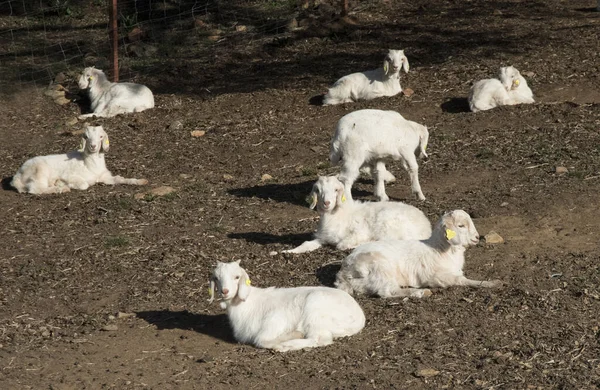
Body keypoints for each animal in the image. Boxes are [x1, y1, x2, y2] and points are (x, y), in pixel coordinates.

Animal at [11, 125, 148, 194]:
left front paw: (141, 181)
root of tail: (17, 176)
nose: (93, 146)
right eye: (86, 137)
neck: (89, 164)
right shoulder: (69, 175)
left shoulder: (104, 177)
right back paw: (61, 189)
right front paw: (61, 183)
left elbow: (119, 179)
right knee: (35, 189)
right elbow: (84, 185)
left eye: (101, 136)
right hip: (39, 170)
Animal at [206, 260, 366, 352]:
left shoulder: (275, 319)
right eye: (217, 278)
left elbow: (261, 340)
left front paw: (287, 338)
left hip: (315, 310)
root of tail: (359, 318)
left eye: (237, 277)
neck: (246, 304)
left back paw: (287, 344)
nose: (225, 291)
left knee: (320, 339)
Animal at [282, 176, 432, 254]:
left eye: (336, 190)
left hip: (389, 225)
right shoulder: (321, 238)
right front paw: (288, 252)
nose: (326, 203)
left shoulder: (359, 232)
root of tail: (426, 227)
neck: (338, 215)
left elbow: (341, 245)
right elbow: (306, 244)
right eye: (318, 190)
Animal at [338, 210, 502, 298]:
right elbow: (462, 280)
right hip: (380, 269)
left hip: (366, 282)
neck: (439, 250)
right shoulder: (437, 277)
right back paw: (421, 292)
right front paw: (492, 283)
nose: (476, 237)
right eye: (461, 226)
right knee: (387, 291)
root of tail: (345, 271)